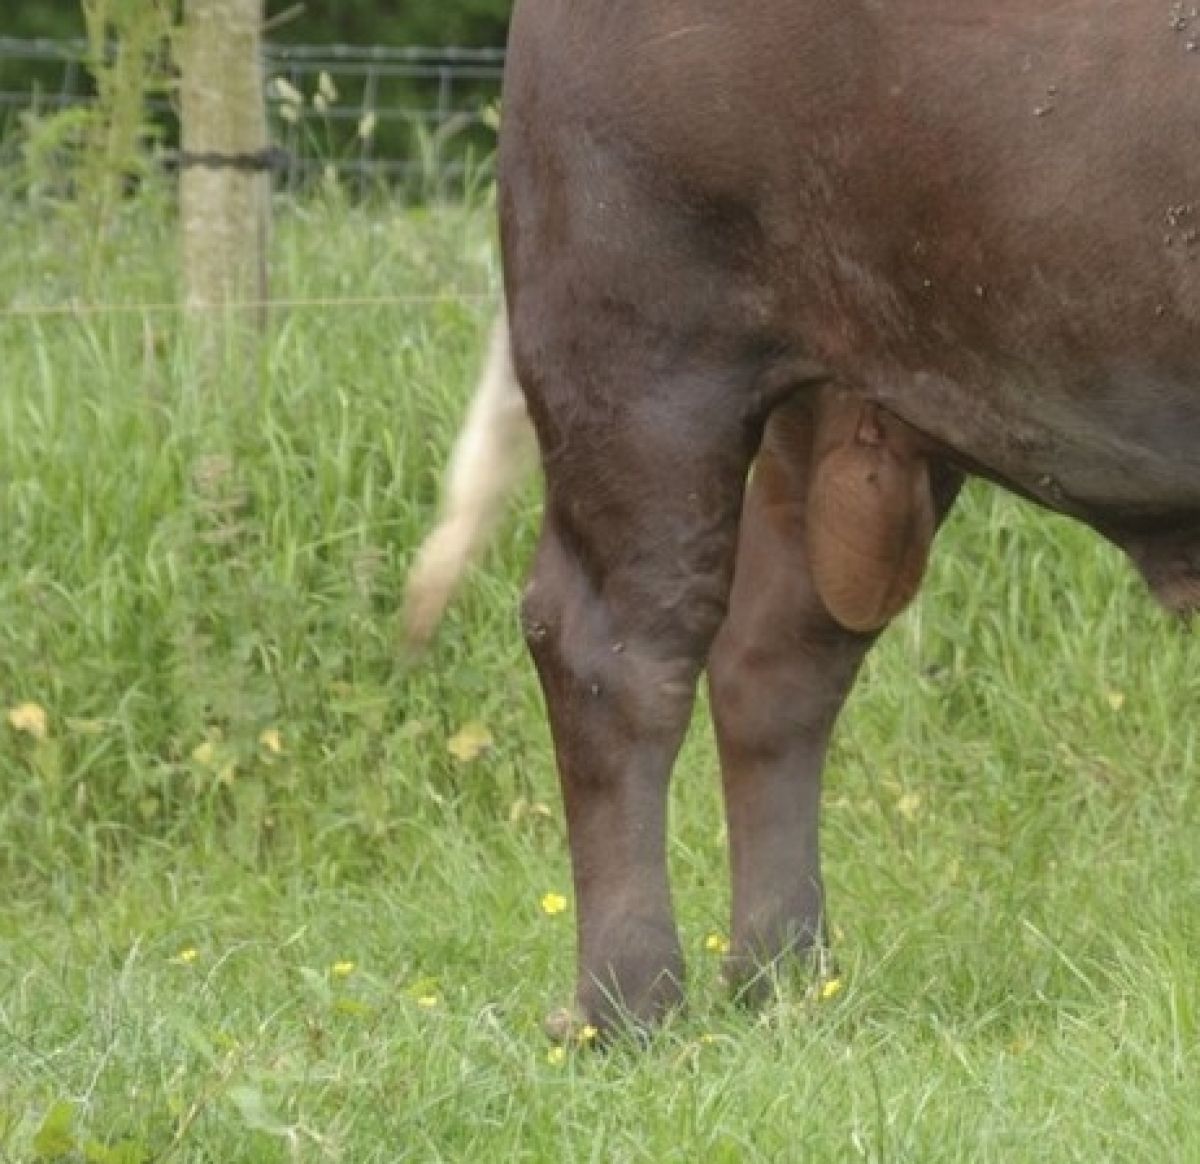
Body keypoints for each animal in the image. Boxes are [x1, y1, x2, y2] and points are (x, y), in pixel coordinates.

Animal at [421, 1, 1200, 1036]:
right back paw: (631, 1002)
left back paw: (783, 975)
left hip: (833, 396)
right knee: (616, 650)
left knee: (775, 660)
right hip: (637, 347)